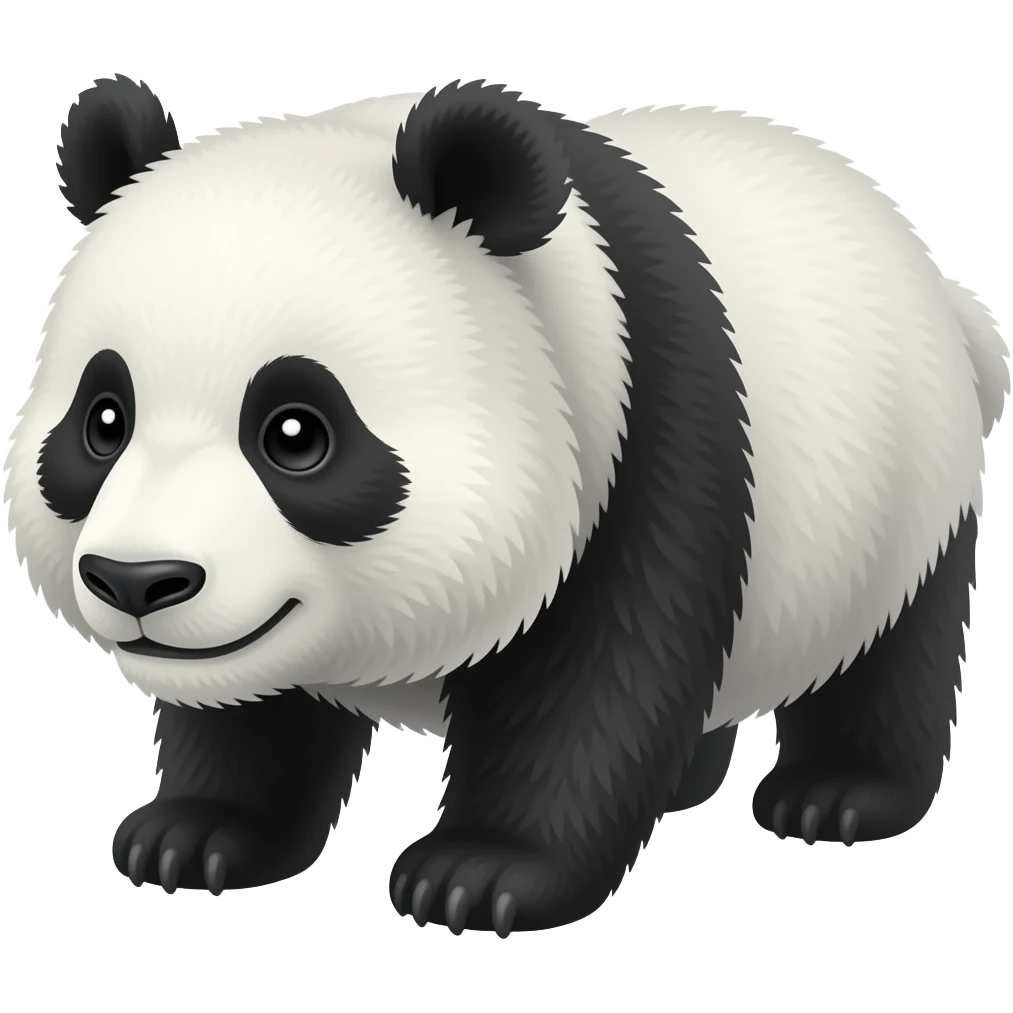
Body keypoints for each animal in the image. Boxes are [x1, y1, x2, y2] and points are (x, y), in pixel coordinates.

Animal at [4, 74, 1007, 936]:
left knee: (890, 647)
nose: (139, 580)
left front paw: (480, 874)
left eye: (295, 433)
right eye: (103, 419)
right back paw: (690, 779)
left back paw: (838, 793)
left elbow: (598, 680)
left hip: (906, 483)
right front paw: (194, 833)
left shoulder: (647, 442)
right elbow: (255, 712)